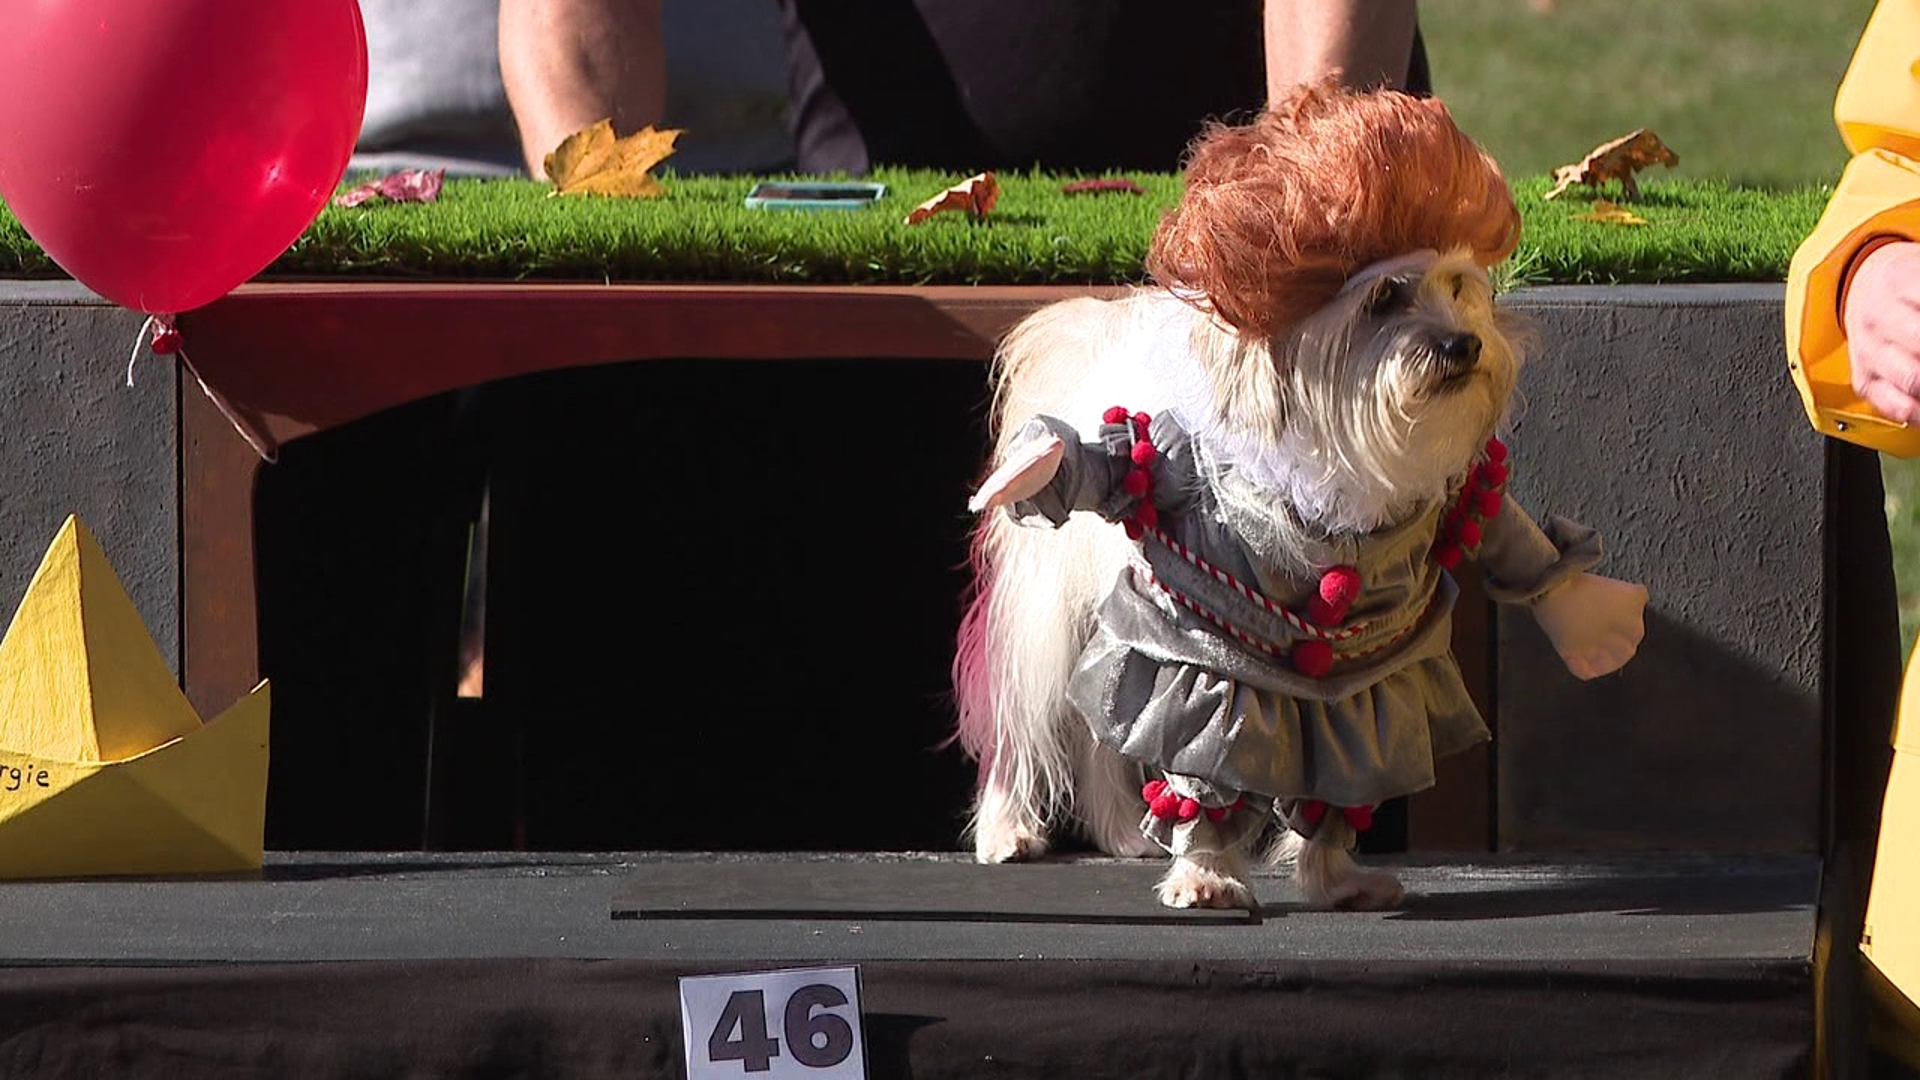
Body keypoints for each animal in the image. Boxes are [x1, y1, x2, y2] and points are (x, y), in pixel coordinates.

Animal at [952, 85, 1643, 907]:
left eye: (1457, 288)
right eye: (1382, 298)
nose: (1464, 344)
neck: (1336, 449)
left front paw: (1335, 876)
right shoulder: (1207, 640)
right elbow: (1203, 749)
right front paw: (1209, 875)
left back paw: (1125, 834)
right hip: (1052, 610)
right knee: (1028, 717)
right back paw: (1008, 830)